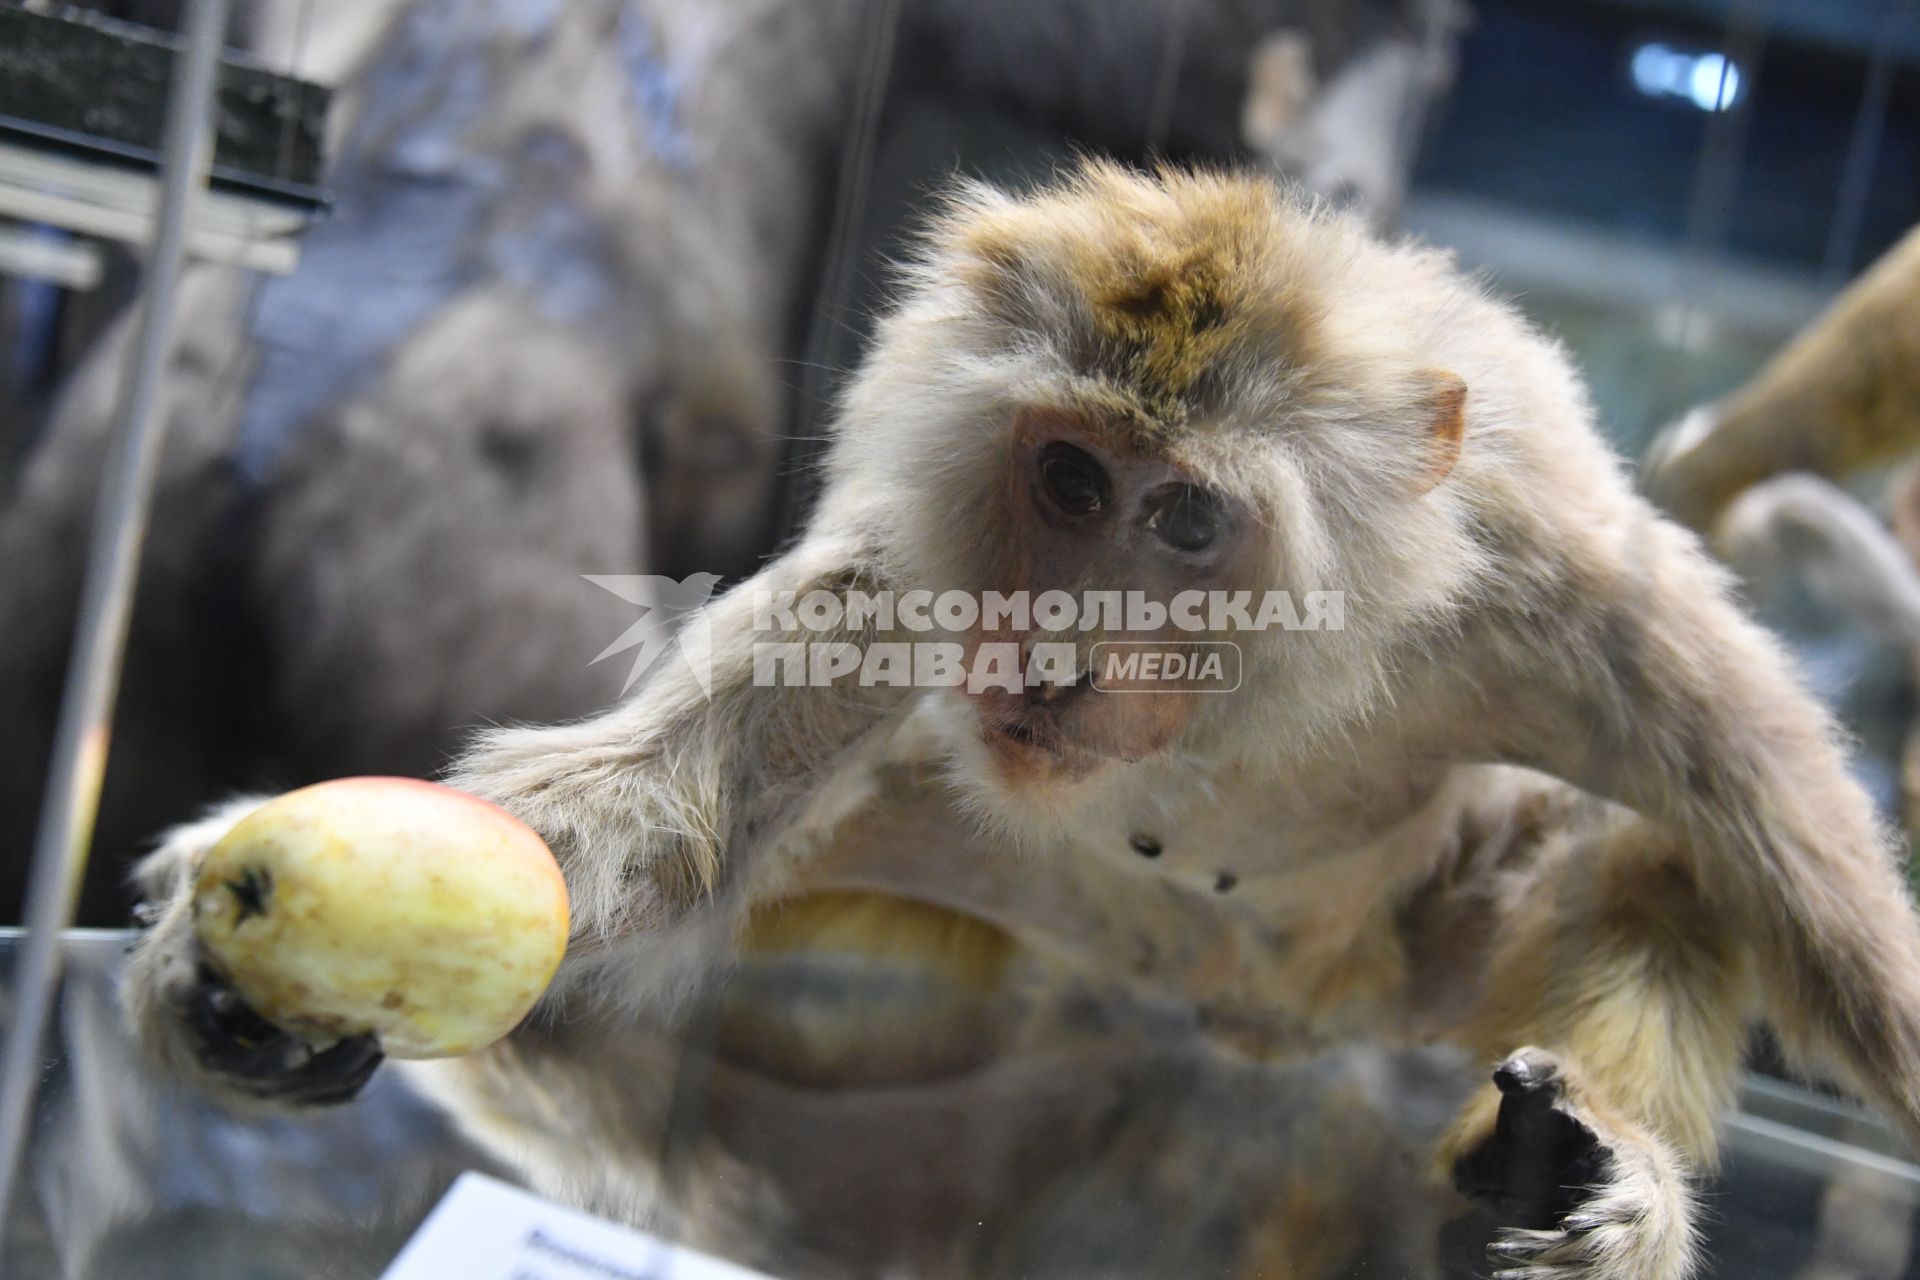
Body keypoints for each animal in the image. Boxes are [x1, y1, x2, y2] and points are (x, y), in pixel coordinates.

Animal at [120, 163, 1920, 1280]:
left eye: (1185, 522)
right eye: (1066, 482)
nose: (1053, 650)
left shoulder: (1569, 589)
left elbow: (1785, 842)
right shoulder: (915, 574)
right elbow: (656, 808)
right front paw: (224, 961)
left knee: (1655, 869)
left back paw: (1573, 1165)